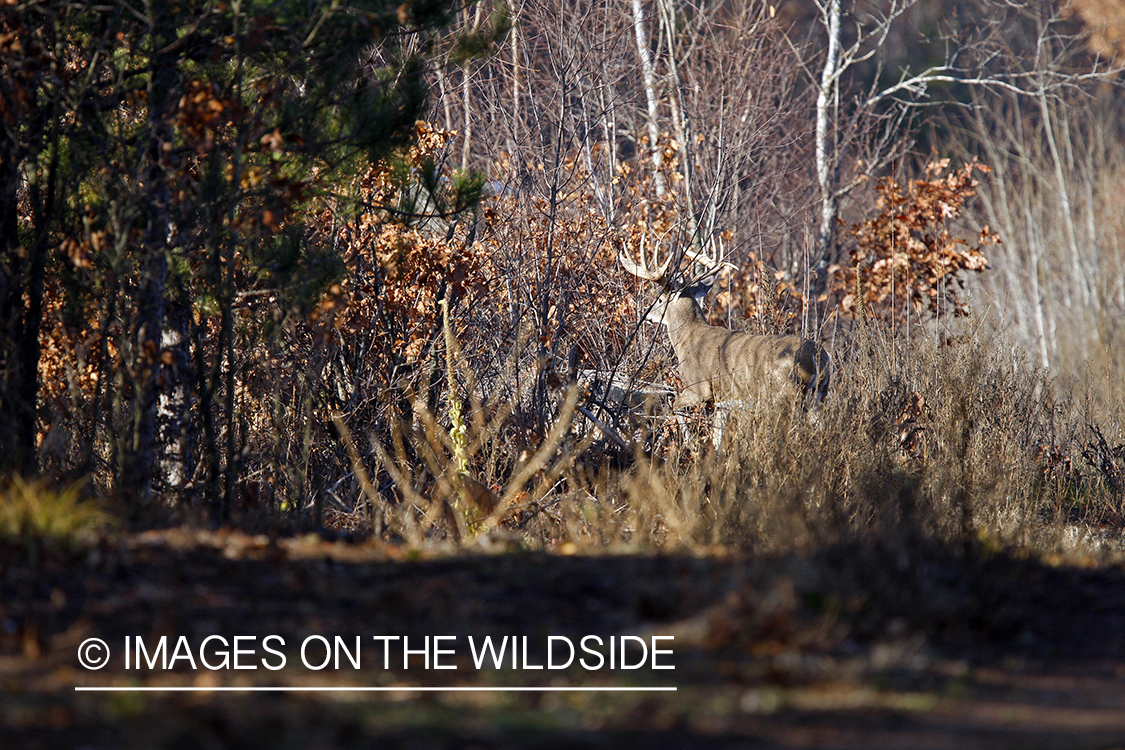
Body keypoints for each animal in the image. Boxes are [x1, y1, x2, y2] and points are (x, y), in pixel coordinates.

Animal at [621, 237, 832, 445]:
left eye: (660, 300)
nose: (646, 315)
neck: (686, 337)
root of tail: (814, 355)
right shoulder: (723, 401)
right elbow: (717, 438)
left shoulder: (699, 388)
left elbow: (675, 405)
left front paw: (690, 443)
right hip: (820, 393)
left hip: (785, 395)